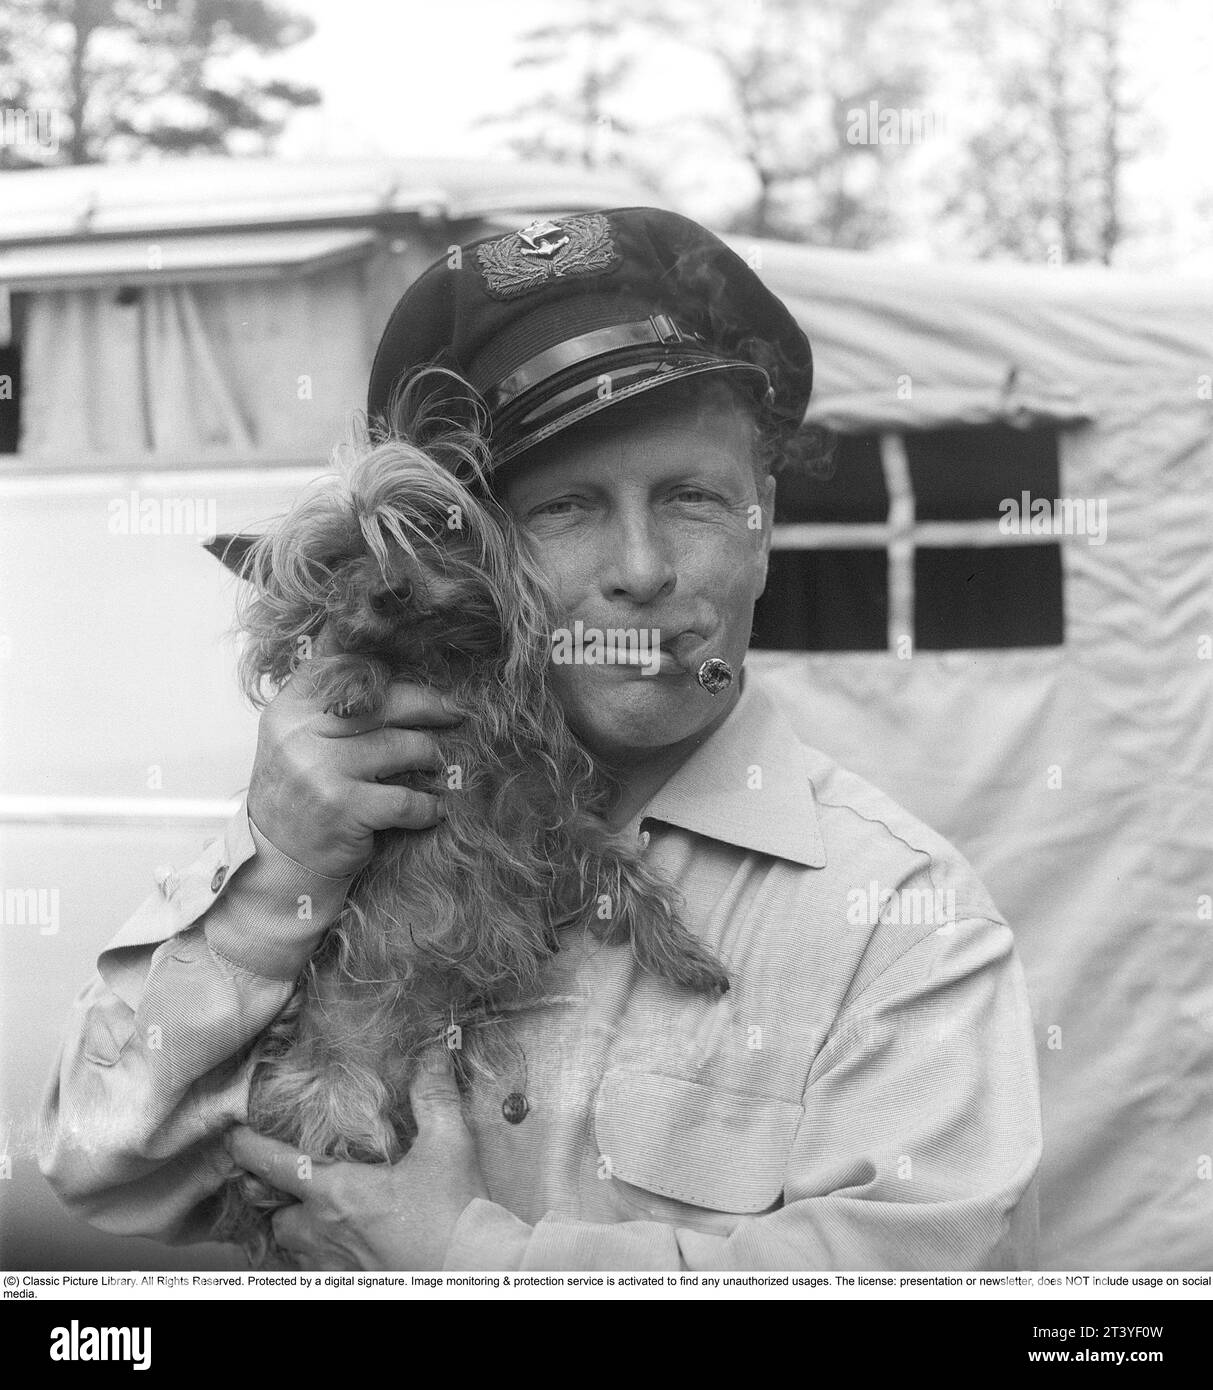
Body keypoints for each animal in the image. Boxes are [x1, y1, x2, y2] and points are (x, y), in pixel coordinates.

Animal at [213, 383, 728, 1262]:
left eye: (430, 527)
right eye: (336, 561)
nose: (390, 590)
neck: (443, 667)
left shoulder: (544, 819)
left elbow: (626, 872)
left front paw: (684, 955)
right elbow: (344, 658)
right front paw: (351, 676)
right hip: (330, 1097)